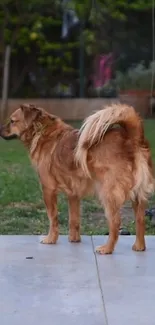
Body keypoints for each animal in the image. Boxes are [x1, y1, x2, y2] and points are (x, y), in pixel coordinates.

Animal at [0, 104, 154, 253]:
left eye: (12, 121)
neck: (42, 131)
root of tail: (132, 138)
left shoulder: (48, 190)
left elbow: (53, 218)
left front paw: (51, 239)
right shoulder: (73, 194)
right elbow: (74, 219)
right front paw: (74, 239)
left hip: (108, 194)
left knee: (115, 222)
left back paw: (107, 249)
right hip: (139, 196)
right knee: (140, 220)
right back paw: (139, 246)